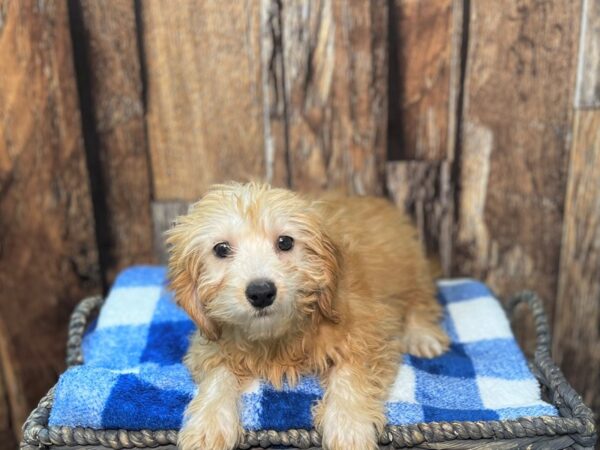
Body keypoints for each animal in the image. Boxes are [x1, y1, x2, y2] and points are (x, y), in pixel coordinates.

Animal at [166, 182, 448, 450]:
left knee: (420, 300)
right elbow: (218, 374)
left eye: (285, 242)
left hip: (411, 268)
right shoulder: (210, 342)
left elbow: (352, 371)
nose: (261, 292)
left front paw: (348, 423)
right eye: (221, 249)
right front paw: (208, 423)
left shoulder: (368, 329)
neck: (278, 336)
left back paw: (422, 335)